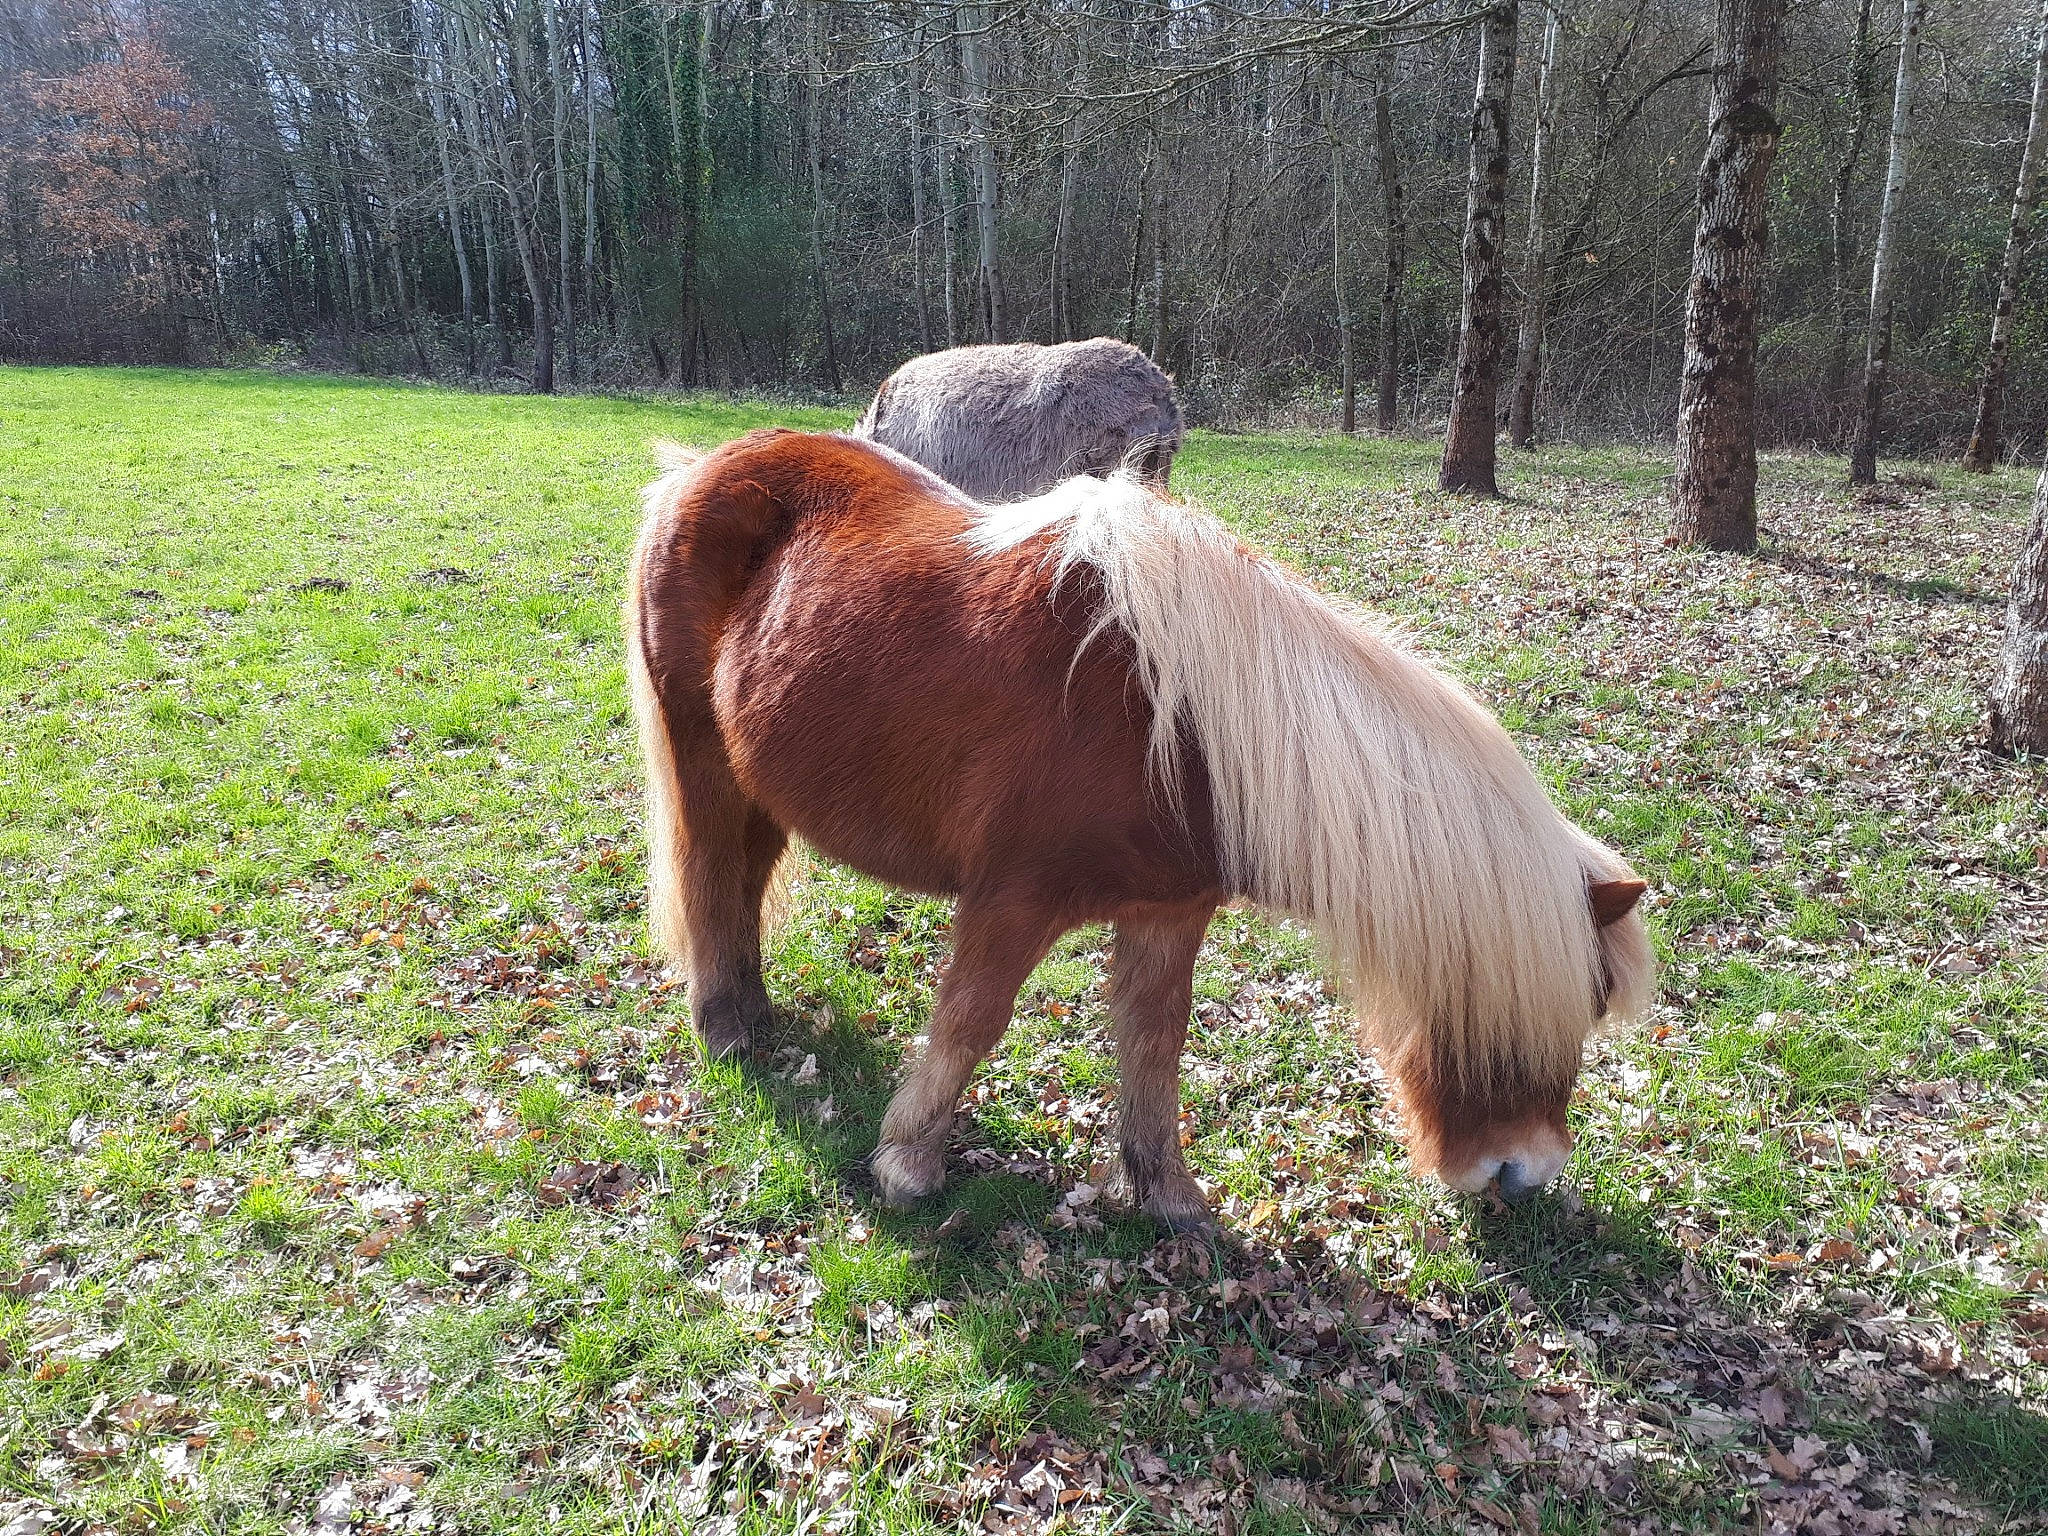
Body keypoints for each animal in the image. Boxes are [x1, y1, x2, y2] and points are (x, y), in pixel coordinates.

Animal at [625, 429, 1652, 1223]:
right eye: (1574, 1002)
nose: (1524, 1176)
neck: (1188, 729)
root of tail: (697, 468)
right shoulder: (1011, 902)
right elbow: (971, 1022)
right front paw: (908, 1164)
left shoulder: (1169, 912)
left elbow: (1156, 1044)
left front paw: (1165, 1195)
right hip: (702, 760)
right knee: (710, 875)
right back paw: (726, 1029)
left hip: (759, 783)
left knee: (745, 881)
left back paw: (753, 1009)